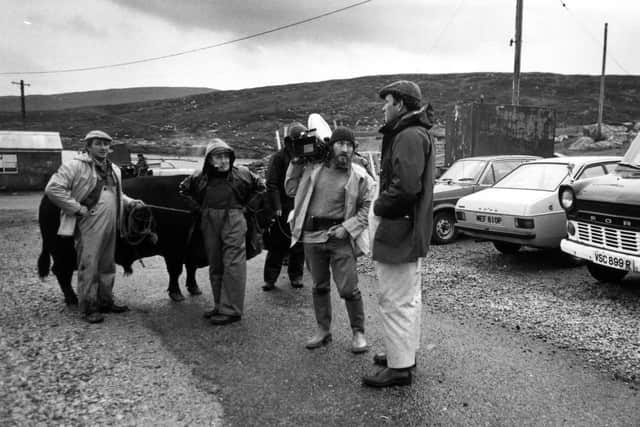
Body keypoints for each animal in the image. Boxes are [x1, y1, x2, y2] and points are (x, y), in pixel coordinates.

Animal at [37, 174, 210, 304]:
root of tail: (46, 198)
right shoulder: (174, 250)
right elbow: (176, 272)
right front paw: (177, 294)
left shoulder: (188, 251)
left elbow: (191, 269)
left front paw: (194, 288)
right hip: (62, 252)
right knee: (60, 272)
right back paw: (72, 298)